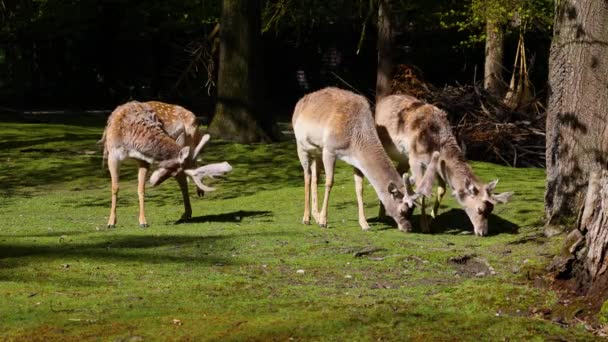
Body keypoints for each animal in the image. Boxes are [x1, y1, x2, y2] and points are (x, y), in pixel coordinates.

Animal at [101, 102, 232, 230]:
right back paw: (188, 211)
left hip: (189, 140)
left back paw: (194, 202)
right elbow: (115, 188)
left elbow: (141, 189)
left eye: (172, 169)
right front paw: (111, 222)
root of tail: (195, 117)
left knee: (186, 175)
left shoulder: (143, 160)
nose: (154, 182)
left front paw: (143, 222)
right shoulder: (113, 155)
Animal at [292, 87, 440, 232]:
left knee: (315, 178)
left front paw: (364, 224)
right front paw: (324, 222)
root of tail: (299, 103)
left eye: (412, 209)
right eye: (403, 210)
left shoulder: (355, 161)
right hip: (301, 147)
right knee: (307, 176)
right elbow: (329, 182)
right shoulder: (329, 149)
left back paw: (315, 216)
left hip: (316, 152)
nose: (408, 228)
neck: (355, 138)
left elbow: (359, 188)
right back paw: (306, 218)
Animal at [376, 95, 512, 236]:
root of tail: (383, 99)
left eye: (491, 209)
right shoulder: (415, 160)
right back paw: (382, 215)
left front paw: (431, 220)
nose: (483, 232)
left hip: (403, 159)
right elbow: (421, 190)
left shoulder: (436, 165)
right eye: (480, 209)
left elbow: (442, 189)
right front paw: (424, 227)